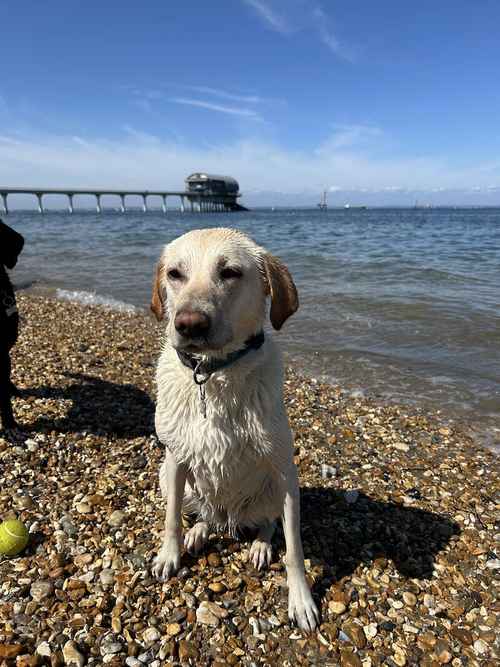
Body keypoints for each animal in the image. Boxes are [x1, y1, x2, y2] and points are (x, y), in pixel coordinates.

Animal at [150, 228, 318, 632]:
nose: (189, 324)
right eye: (175, 273)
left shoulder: (283, 470)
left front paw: (301, 600)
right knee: (203, 514)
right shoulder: (175, 459)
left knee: (268, 522)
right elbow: (171, 518)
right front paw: (169, 554)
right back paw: (199, 532)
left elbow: (294, 547)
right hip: (170, 478)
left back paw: (259, 545)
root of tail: (231, 518)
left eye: (230, 272)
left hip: (276, 487)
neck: (213, 374)